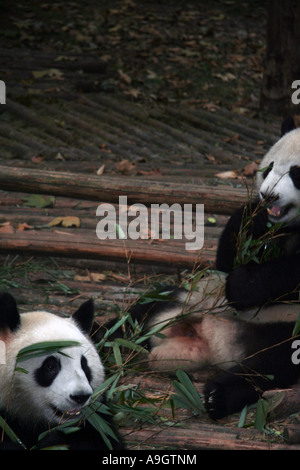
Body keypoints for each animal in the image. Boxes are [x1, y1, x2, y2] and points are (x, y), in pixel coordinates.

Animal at [100, 115, 300, 420]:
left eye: (296, 173)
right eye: (269, 168)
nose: (268, 197)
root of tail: (213, 344)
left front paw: (244, 285)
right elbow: (229, 254)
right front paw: (253, 221)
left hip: (286, 327)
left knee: (272, 363)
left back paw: (218, 396)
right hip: (191, 297)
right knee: (137, 318)